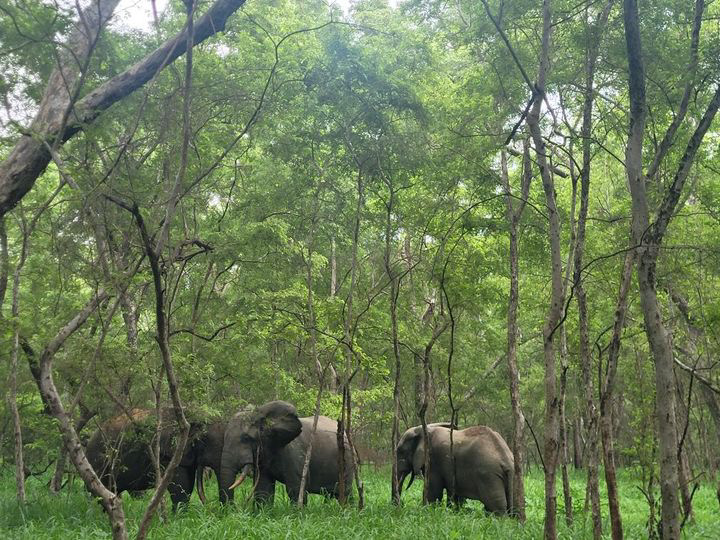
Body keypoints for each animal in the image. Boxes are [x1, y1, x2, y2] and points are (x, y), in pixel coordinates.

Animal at [221, 398, 352, 504]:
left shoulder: (295, 454)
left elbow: (295, 489)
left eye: (246, 438)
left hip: (346, 460)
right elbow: (263, 490)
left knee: (345, 493)